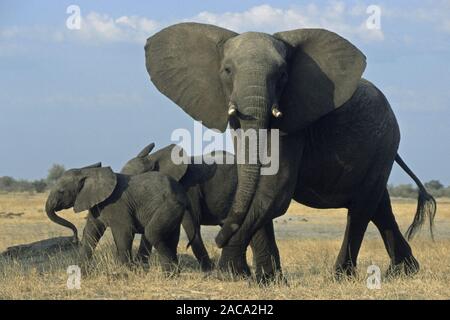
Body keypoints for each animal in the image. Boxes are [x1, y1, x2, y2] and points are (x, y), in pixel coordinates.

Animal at [44, 162, 192, 272]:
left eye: (61, 191)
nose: (74, 239)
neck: (89, 172)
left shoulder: (117, 204)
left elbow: (123, 232)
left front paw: (127, 272)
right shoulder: (96, 203)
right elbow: (91, 233)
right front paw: (81, 272)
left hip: (170, 206)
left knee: (152, 233)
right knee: (171, 238)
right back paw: (173, 272)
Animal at [145, 23, 436, 280]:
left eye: (283, 75)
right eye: (227, 70)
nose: (219, 237)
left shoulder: (294, 124)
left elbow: (274, 190)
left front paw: (227, 274)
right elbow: (254, 187)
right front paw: (265, 280)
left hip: (384, 143)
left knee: (362, 208)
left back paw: (341, 277)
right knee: (379, 206)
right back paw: (405, 272)